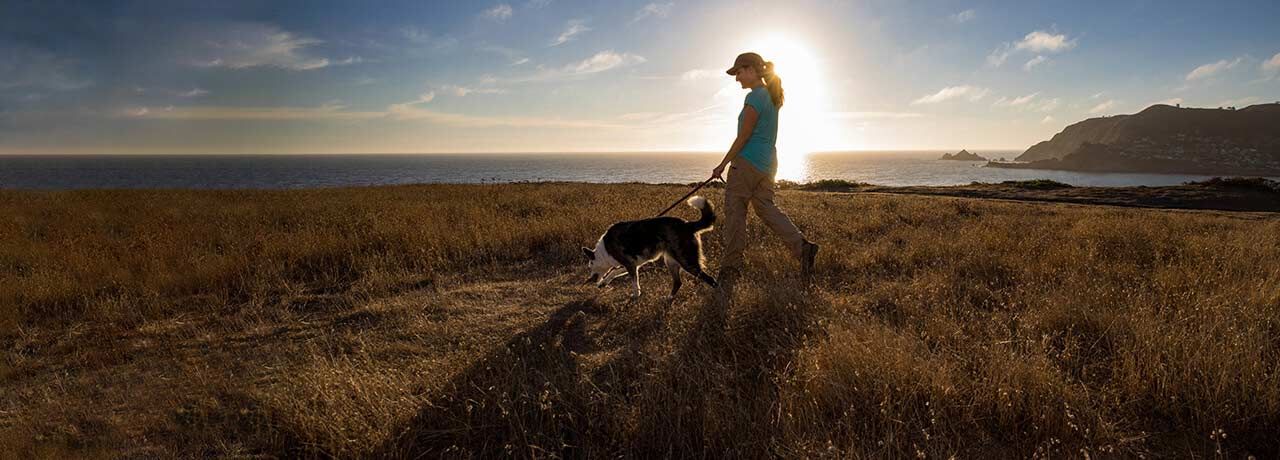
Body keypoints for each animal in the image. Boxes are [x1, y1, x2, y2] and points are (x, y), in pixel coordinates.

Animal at [583, 196, 716, 301]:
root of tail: (688, 224)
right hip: (671, 261)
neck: (604, 252)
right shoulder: (632, 264)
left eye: (590, 266)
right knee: (678, 282)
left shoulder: (630, 264)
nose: (590, 280)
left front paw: (636, 295)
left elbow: (633, 282)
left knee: (710, 279)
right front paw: (604, 282)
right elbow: (614, 272)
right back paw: (669, 298)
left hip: (687, 262)